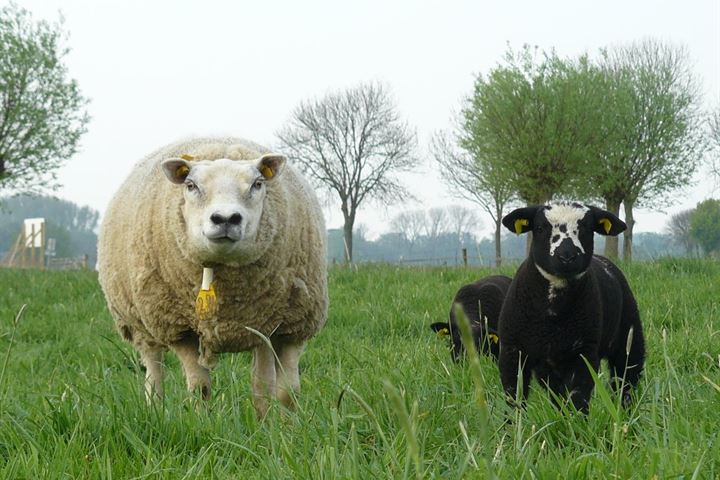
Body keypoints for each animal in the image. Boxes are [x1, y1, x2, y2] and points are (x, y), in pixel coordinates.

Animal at [97, 136, 328, 416]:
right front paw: (202, 420)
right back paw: (155, 409)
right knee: (153, 367)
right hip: (142, 321)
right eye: (191, 185)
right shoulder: (181, 328)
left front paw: (278, 426)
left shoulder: (285, 324)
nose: (226, 218)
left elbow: (280, 391)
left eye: (257, 183)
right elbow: (200, 387)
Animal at [498, 202, 644, 412]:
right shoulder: (512, 351)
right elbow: (514, 399)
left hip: (629, 337)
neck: (552, 315)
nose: (567, 256)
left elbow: (578, 399)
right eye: (540, 228)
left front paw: (577, 422)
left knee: (626, 380)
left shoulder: (583, 353)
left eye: (587, 228)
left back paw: (625, 414)